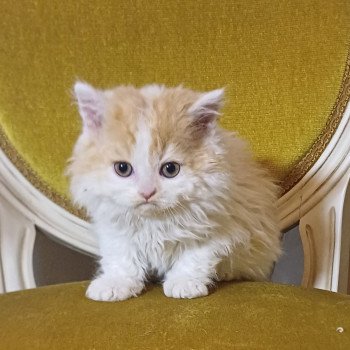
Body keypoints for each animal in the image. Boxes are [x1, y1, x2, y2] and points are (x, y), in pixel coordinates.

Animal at [67, 82, 282, 300]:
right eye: (122, 168)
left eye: (170, 169)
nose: (147, 192)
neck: (154, 221)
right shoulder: (113, 226)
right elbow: (121, 256)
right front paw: (116, 282)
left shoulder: (219, 223)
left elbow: (194, 256)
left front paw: (184, 282)